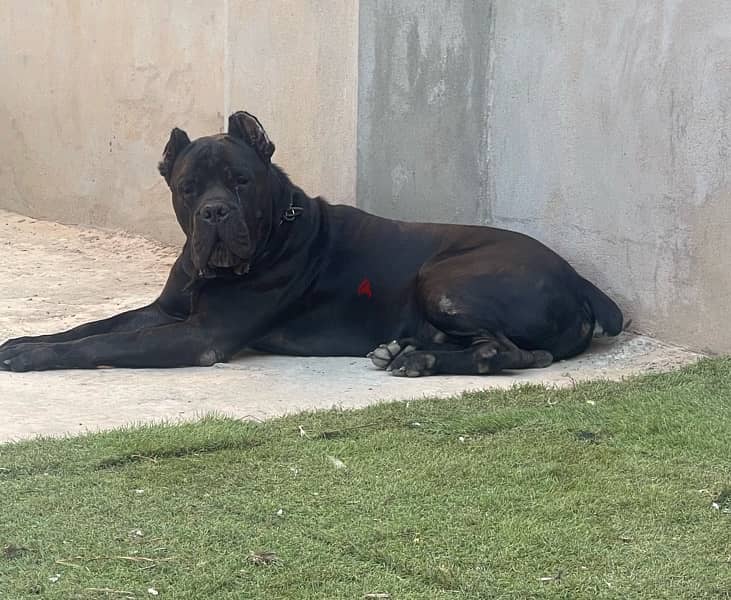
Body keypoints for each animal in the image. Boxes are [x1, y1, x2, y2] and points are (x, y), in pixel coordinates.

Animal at [1, 111, 628, 376]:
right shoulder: (167, 311)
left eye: (240, 181)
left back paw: (418, 359)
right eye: (187, 187)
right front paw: (25, 340)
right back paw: (405, 350)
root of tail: (582, 281)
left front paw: (33, 358)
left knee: (508, 352)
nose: (214, 212)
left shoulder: (200, 335)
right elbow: (94, 326)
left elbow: (103, 344)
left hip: (445, 278)